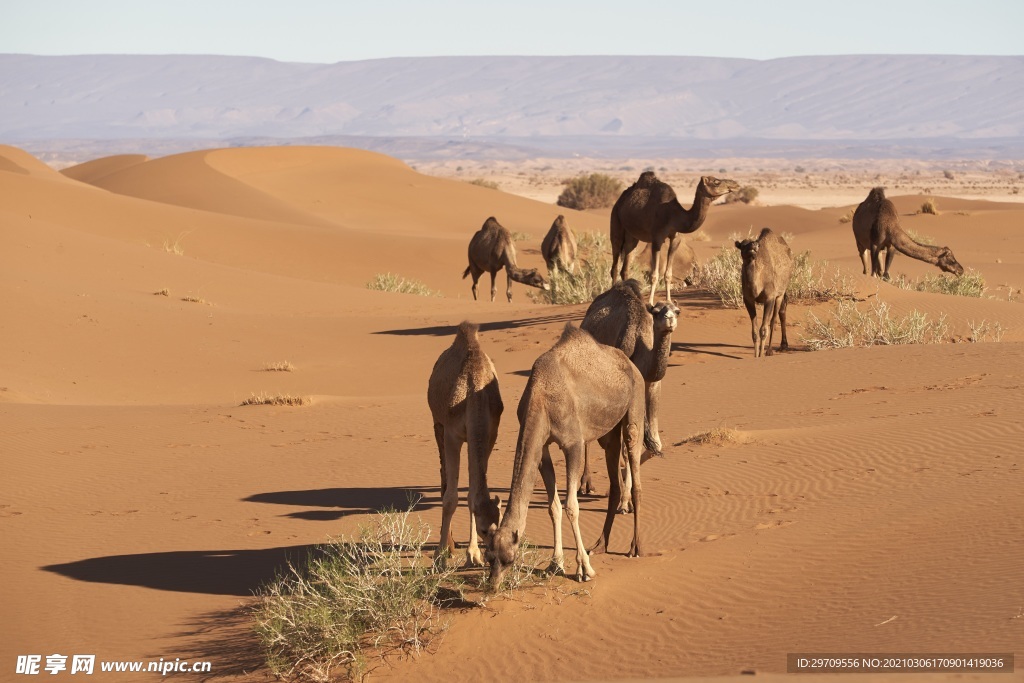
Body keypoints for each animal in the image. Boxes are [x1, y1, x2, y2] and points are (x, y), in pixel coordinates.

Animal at [423, 323, 503, 569]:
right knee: (443, 474)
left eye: (499, 526)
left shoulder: (488, 435)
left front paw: (473, 555)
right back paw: (448, 546)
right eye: (484, 530)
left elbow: (471, 496)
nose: (492, 556)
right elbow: (451, 499)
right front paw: (440, 555)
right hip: (437, 422)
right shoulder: (453, 434)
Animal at [483, 325, 659, 589]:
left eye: (508, 559)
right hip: (609, 430)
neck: (541, 396)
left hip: (635, 404)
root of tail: (630, 364)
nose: (492, 585)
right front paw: (555, 564)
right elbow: (553, 506)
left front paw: (584, 569)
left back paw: (635, 547)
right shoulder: (542, 447)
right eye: (488, 557)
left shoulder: (573, 445)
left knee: (634, 458)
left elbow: (572, 507)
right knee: (614, 476)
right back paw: (600, 545)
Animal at [581, 276, 675, 507]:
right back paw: (586, 484)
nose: (669, 319)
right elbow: (624, 445)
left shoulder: (652, 385)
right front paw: (624, 500)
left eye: (677, 310)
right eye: (657, 311)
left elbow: (651, 442)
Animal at [606, 172, 737, 305]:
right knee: (615, 265)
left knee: (625, 267)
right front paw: (651, 302)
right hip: (616, 223)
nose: (735, 184)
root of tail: (619, 201)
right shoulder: (657, 238)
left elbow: (668, 274)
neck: (673, 214)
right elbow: (654, 275)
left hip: (632, 237)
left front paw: (669, 301)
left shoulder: (675, 238)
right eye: (716, 182)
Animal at [737, 228, 790, 360]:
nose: (754, 246)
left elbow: (764, 329)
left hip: (780, 293)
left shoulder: (770, 297)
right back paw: (783, 346)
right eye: (743, 244)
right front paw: (756, 356)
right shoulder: (748, 300)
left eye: (757, 245)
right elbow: (755, 332)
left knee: (776, 317)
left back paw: (773, 349)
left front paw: (762, 355)